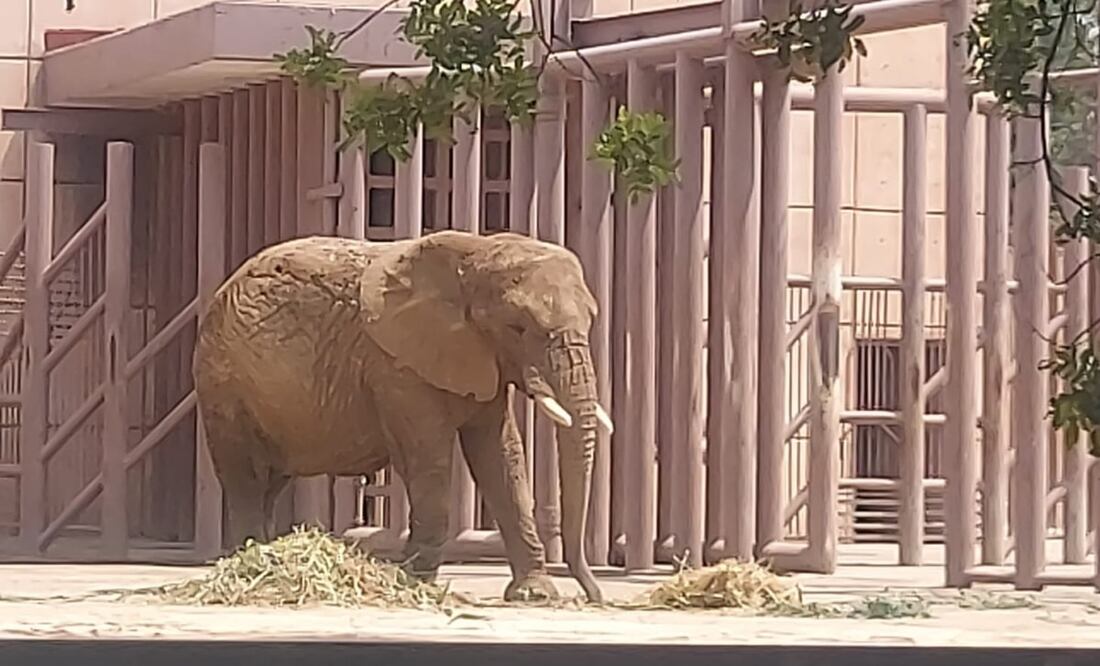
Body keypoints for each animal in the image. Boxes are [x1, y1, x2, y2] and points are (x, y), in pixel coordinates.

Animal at [192, 229, 612, 603]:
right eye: (517, 327)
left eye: (593, 318)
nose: (593, 597)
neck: (475, 252)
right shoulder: (396, 366)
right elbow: (429, 457)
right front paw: (413, 582)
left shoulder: (481, 359)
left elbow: (501, 458)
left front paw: (533, 595)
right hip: (224, 385)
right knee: (245, 477)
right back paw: (251, 562)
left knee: (270, 480)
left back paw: (259, 559)